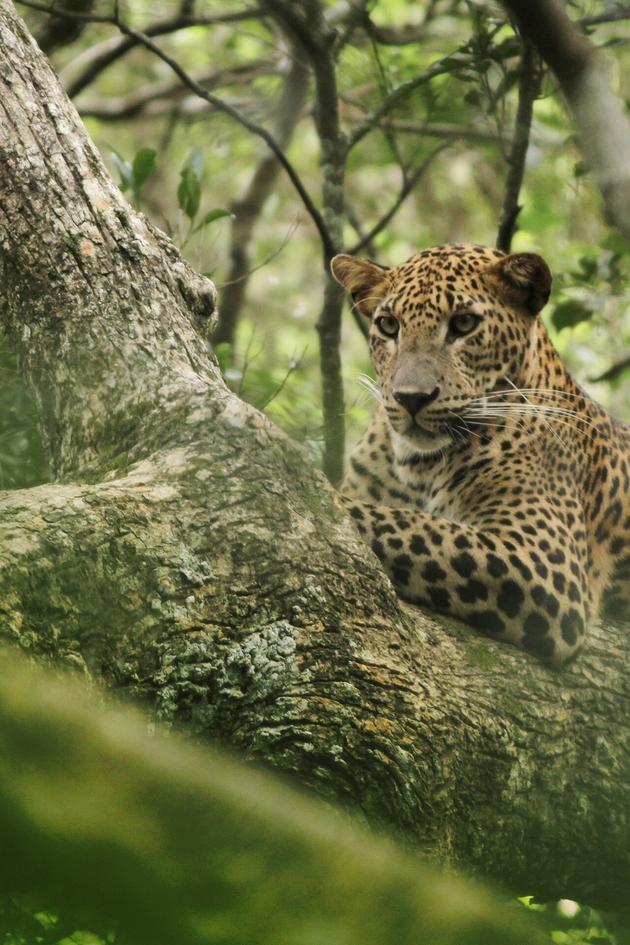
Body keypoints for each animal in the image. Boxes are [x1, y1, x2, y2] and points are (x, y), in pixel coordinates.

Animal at [331, 243, 630, 665]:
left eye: (464, 324)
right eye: (388, 326)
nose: (411, 398)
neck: (417, 467)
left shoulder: (546, 560)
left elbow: (406, 525)